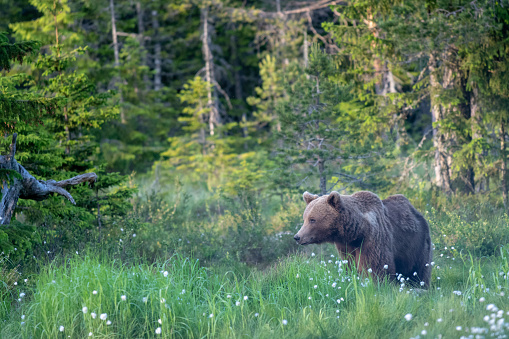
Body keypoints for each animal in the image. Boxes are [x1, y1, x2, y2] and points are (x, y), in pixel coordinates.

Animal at [294, 191, 432, 286]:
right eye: (304, 218)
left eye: (313, 219)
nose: (297, 237)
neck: (357, 231)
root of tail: (417, 212)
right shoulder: (345, 246)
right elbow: (349, 265)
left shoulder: (373, 239)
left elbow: (377, 266)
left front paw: (376, 284)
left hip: (417, 243)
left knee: (419, 268)